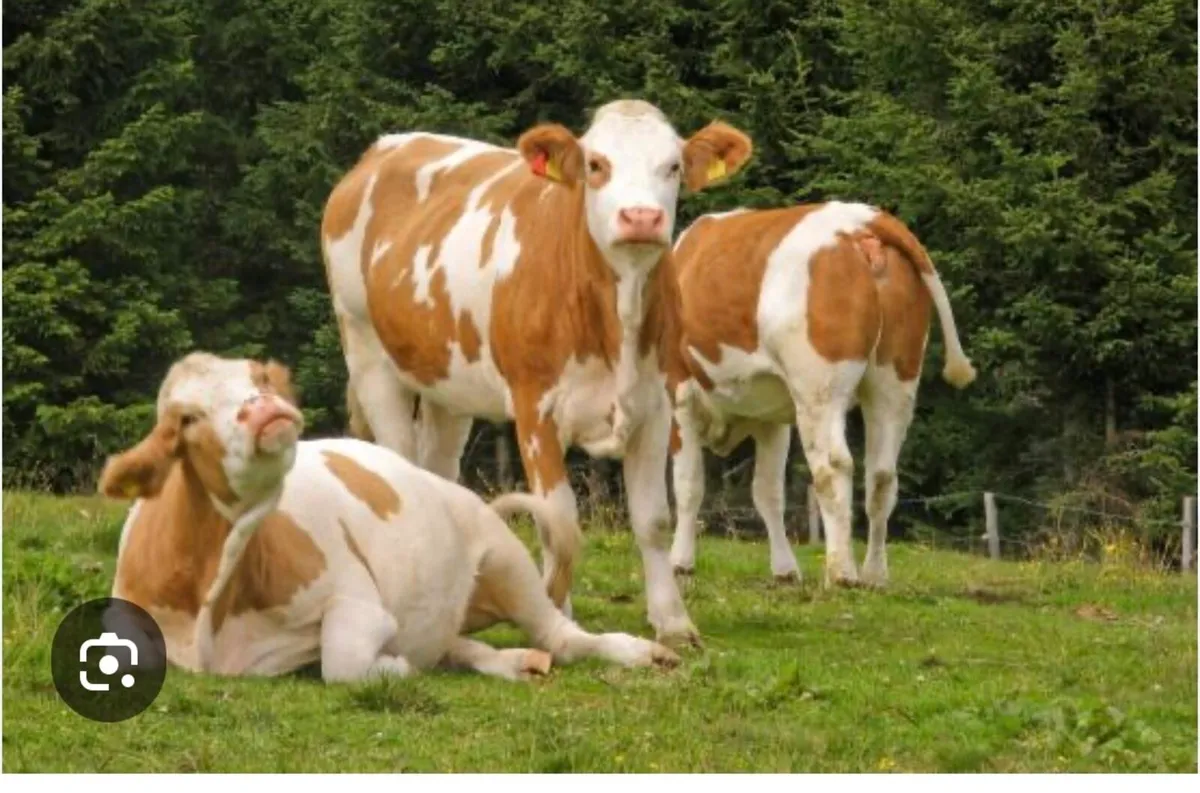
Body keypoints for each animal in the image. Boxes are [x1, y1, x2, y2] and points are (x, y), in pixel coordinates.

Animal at [97, 351, 680, 682]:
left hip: (505, 557)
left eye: (259, 377)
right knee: (458, 643)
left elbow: (343, 661)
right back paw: (514, 662)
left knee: (564, 635)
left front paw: (392, 667)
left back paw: (642, 653)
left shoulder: (356, 596)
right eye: (185, 418)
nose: (263, 408)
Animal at [320, 99, 753, 645]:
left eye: (672, 166)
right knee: (397, 457)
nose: (641, 216)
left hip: (447, 384)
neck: (617, 315)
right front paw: (558, 614)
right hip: (367, 353)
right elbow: (558, 521)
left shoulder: (656, 406)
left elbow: (653, 518)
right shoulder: (535, 409)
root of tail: (383, 147)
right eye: (596, 164)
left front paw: (673, 622)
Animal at [665, 203, 977, 587]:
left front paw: (679, 563)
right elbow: (768, 492)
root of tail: (862, 219)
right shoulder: (771, 418)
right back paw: (874, 574)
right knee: (882, 475)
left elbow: (688, 485)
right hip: (895, 382)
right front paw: (785, 569)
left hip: (819, 390)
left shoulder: (678, 393)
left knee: (834, 466)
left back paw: (841, 572)